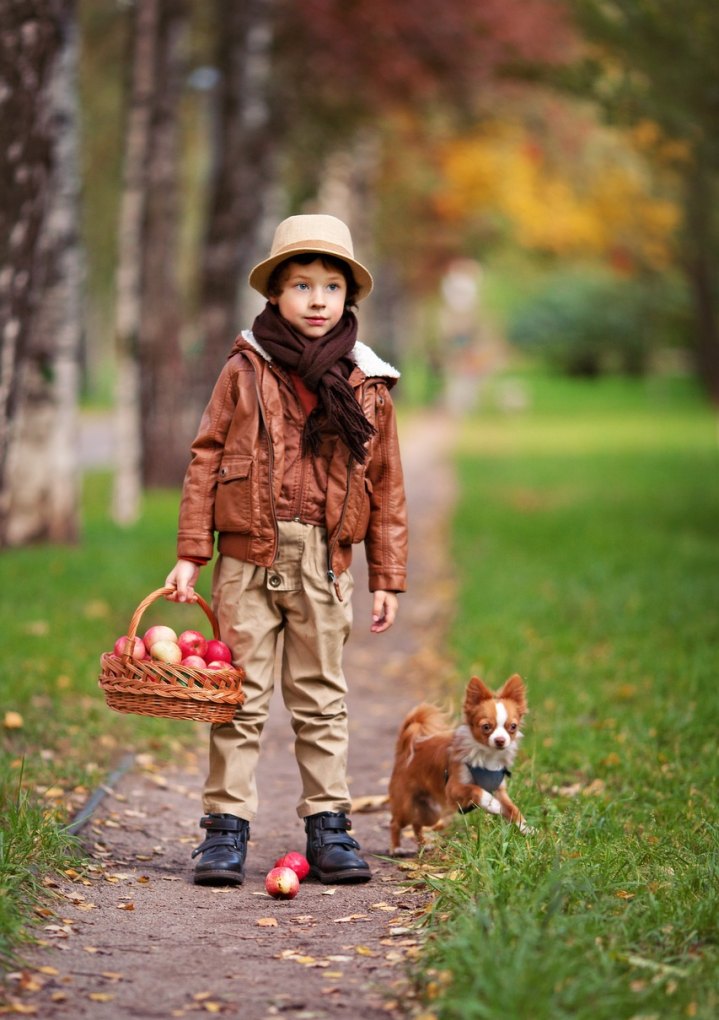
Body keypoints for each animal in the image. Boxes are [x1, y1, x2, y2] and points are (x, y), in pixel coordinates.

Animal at [387, 673, 526, 848]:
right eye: (486, 727)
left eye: (513, 727)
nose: (500, 740)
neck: (488, 757)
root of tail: (404, 753)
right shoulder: (453, 788)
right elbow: (476, 789)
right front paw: (492, 804)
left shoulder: (500, 791)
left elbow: (513, 809)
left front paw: (528, 830)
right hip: (406, 807)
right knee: (395, 822)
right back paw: (396, 848)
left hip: (431, 812)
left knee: (417, 823)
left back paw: (424, 844)